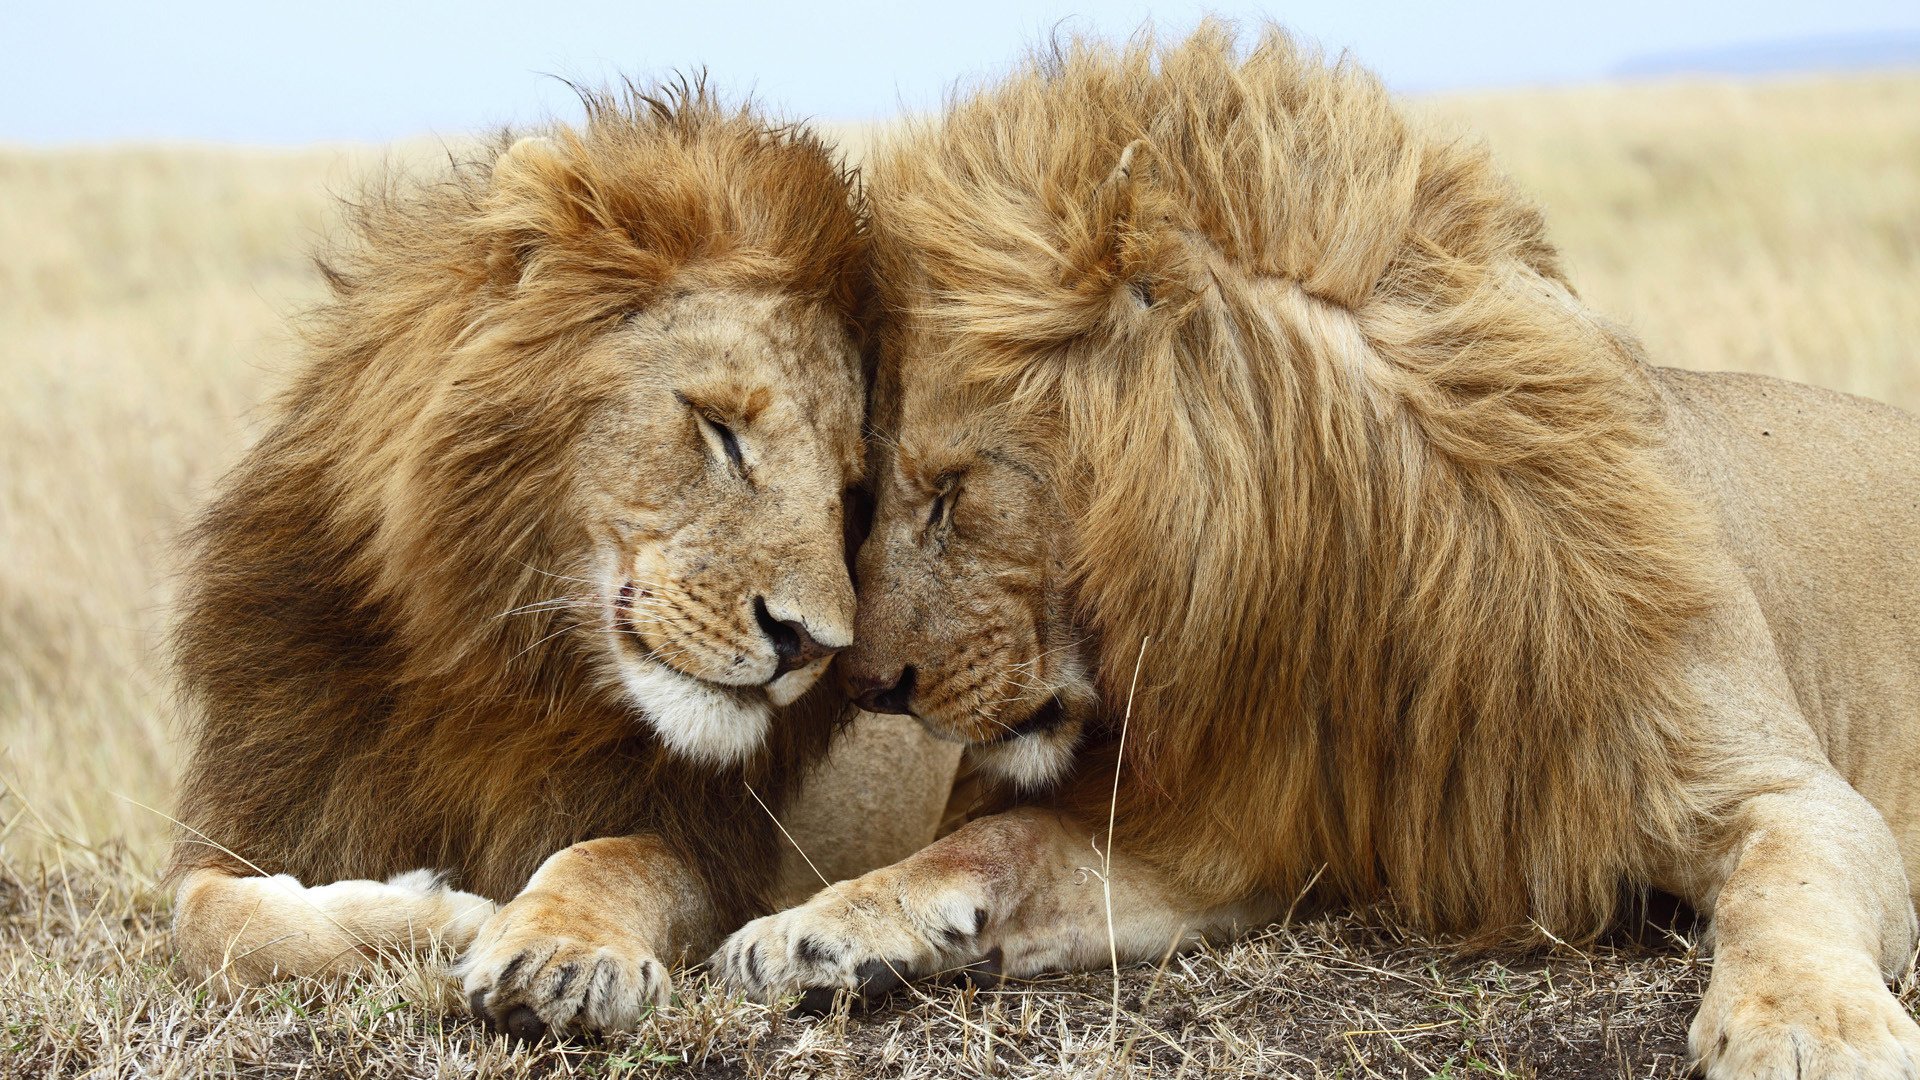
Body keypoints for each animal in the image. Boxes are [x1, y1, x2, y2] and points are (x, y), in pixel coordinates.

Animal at [163, 84, 960, 1037]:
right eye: (720, 430)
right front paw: (435, 914)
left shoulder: (714, 848)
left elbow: (610, 858)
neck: (496, 668)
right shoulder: (266, 806)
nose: (811, 643)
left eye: (849, 492)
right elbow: (208, 920)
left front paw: (555, 951)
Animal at [718, 27, 1920, 1076]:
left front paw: (1807, 1031)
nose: (869, 687)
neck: (1350, 578)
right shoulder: (1232, 830)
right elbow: (1001, 842)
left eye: (952, 493)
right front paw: (815, 928)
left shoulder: (1780, 786)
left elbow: (1785, 888)